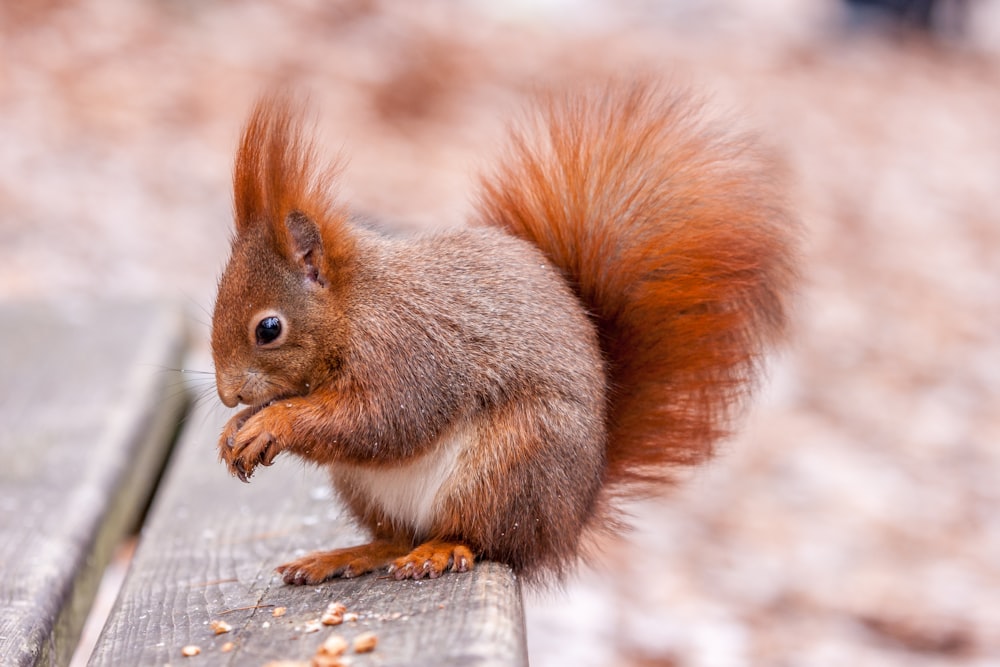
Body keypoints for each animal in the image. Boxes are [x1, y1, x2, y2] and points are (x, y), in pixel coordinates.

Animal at [209, 81, 796, 588]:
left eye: (268, 328)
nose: (228, 394)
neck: (354, 307)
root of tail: (569, 519)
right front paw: (236, 428)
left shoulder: (407, 351)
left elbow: (381, 420)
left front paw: (273, 423)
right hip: (368, 489)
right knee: (396, 538)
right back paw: (343, 555)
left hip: (507, 466)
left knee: (483, 538)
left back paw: (441, 550)